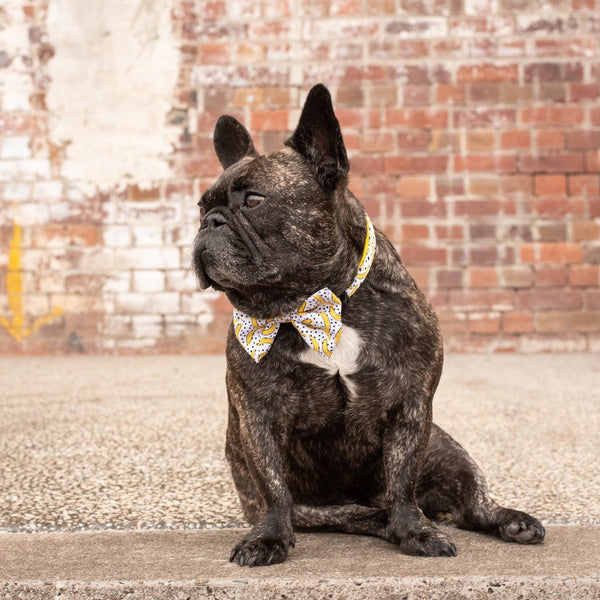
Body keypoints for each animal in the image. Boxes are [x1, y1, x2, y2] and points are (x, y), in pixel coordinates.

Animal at [193, 85, 544, 568]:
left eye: (254, 201)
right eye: (201, 207)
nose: (208, 223)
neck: (320, 304)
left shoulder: (411, 406)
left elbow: (401, 479)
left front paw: (415, 531)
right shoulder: (259, 415)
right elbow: (273, 486)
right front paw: (268, 539)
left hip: (447, 450)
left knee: (468, 503)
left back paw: (505, 520)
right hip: (316, 508)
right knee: (352, 513)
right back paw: (382, 520)